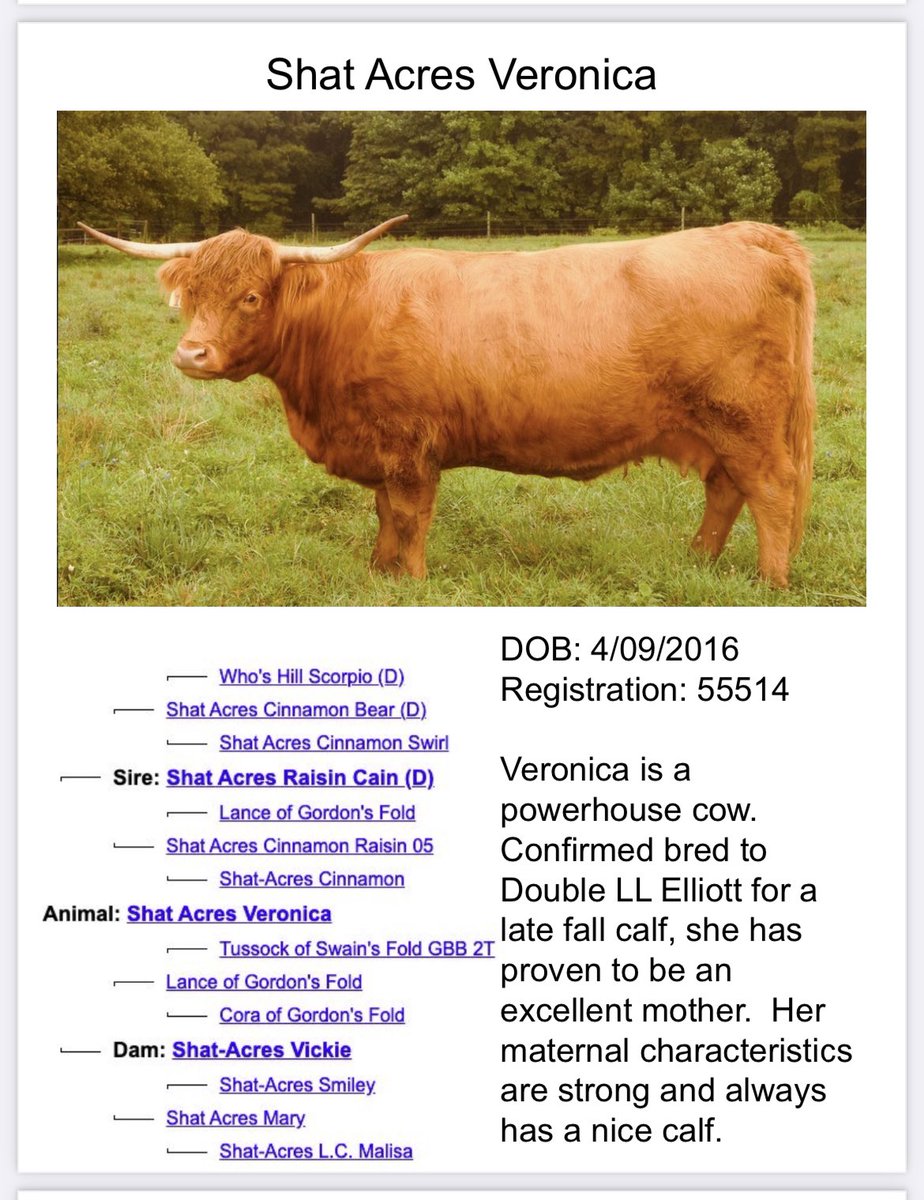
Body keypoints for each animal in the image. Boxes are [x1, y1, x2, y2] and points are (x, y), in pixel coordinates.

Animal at [77, 216, 815, 587]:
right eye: (189, 295)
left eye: (251, 296)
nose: (191, 355)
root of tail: (747, 232)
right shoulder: (382, 447)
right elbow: (383, 514)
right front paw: (378, 574)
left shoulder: (410, 446)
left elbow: (409, 517)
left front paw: (409, 580)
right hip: (717, 425)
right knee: (726, 490)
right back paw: (698, 563)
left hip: (744, 418)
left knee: (771, 491)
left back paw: (768, 583)